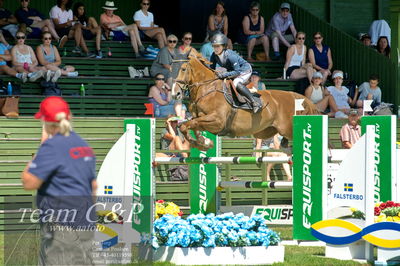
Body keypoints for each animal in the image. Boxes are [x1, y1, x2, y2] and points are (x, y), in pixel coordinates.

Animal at [172, 55, 318, 151]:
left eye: (183, 69)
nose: (175, 94)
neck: (207, 89)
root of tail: (292, 95)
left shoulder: (217, 120)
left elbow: (187, 125)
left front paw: (202, 143)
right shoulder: (202, 120)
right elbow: (188, 125)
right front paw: (203, 143)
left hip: (286, 128)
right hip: (266, 131)